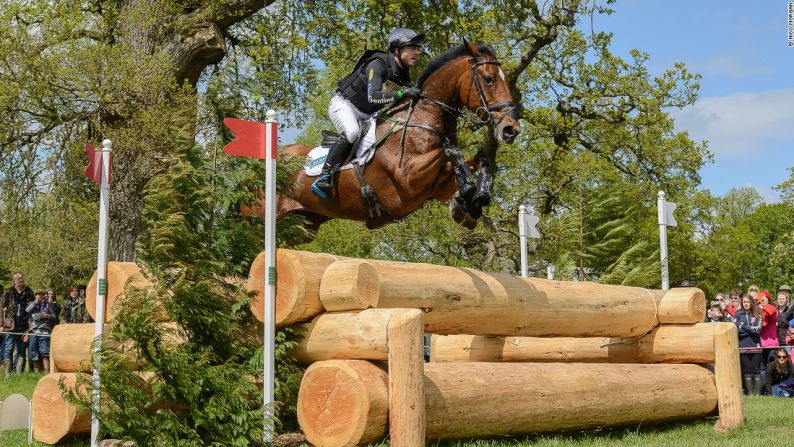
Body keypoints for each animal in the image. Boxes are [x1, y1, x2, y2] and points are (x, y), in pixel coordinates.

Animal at [262, 41, 520, 234]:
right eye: (489, 79)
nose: (511, 129)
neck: (423, 118)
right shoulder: (407, 178)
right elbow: (450, 151)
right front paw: (467, 191)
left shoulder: (436, 188)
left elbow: (479, 160)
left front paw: (471, 203)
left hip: (305, 225)